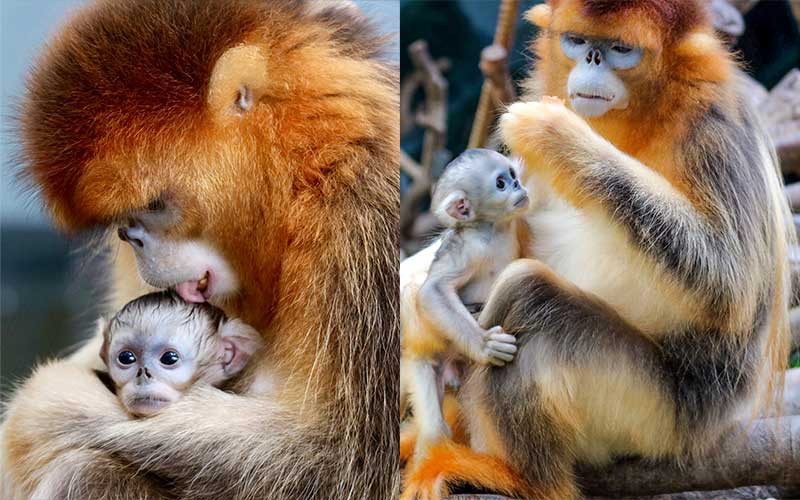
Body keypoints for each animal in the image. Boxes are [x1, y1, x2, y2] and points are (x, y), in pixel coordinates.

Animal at [406, 147, 532, 458]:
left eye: (512, 175)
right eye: (500, 183)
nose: (518, 186)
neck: (493, 229)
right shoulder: (468, 248)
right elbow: (433, 290)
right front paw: (485, 345)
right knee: (436, 430)